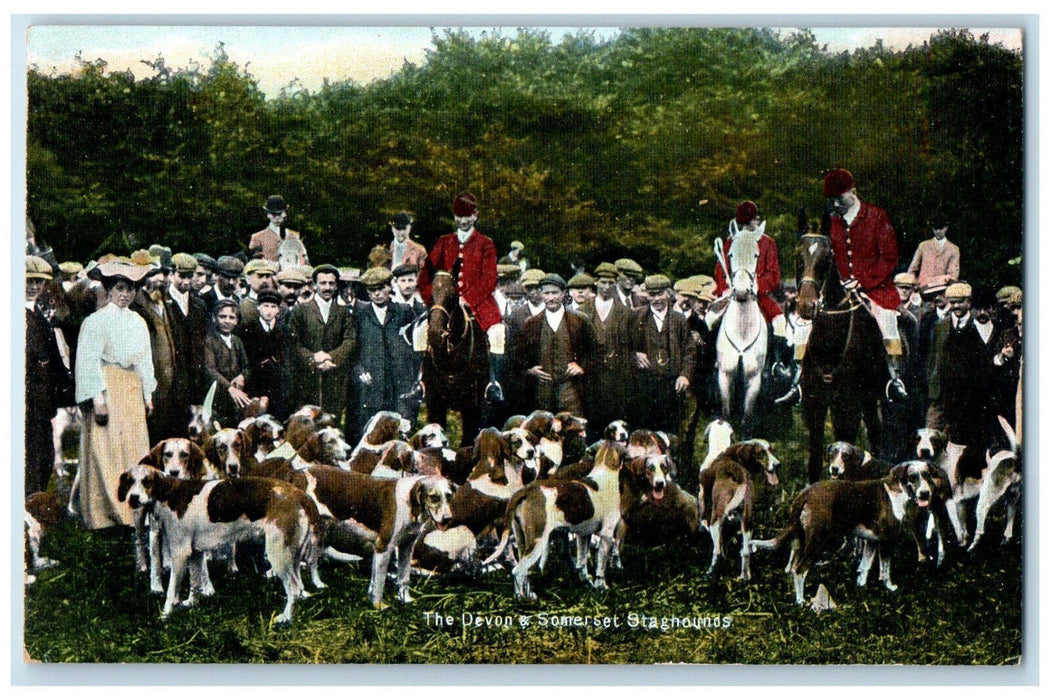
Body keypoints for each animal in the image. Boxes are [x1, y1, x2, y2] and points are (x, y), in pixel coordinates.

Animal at [709, 221, 768, 434]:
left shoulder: (754, 378)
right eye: (731, 254)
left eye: (756, 255)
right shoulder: (725, 375)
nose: (741, 291)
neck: (742, 330)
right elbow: (726, 412)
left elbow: (747, 417)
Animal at [793, 234, 886, 482]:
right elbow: (815, 461)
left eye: (826, 260)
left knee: (875, 434)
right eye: (798, 257)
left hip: (869, 399)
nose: (806, 306)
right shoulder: (815, 406)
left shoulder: (849, 406)